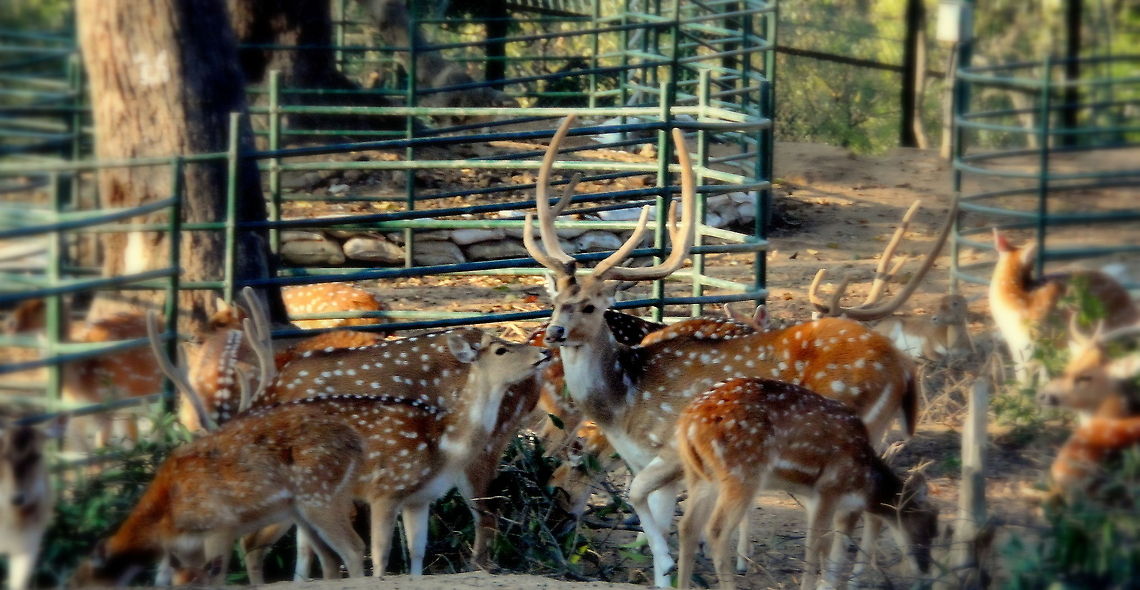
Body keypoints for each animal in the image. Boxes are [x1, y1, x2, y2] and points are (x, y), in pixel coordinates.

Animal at [70, 396, 367, 587]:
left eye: (81, 584)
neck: (167, 516)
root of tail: (356, 443)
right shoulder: (185, 549)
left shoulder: (220, 525)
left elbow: (216, 578)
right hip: (300, 511)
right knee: (330, 559)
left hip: (321, 497)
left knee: (354, 549)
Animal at [674, 378, 937, 590]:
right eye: (928, 526)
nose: (925, 571)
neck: (863, 481)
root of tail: (688, 423)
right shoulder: (830, 488)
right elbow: (816, 545)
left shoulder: (815, 498)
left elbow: (828, 548)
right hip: (743, 472)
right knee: (716, 530)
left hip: (699, 475)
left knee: (687, 526)